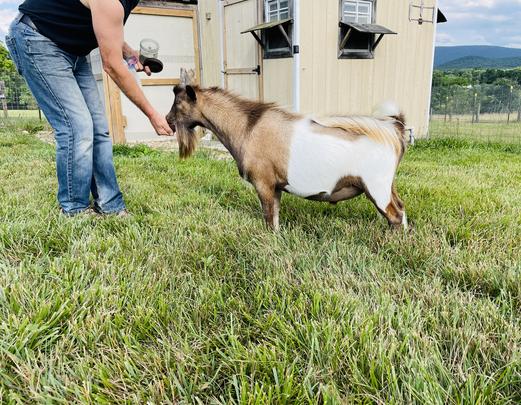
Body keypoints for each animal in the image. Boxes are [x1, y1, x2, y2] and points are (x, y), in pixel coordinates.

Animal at [167, 84, 406, 230]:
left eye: (178, 104)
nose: (167, 119)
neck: (248, 127)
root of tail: (394, 131)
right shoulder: (277, 187)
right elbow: (276, 216)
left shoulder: (263, 183)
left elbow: (268, 217)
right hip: (388, 186)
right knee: (401, 210)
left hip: (376, 187)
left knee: (394, 215)